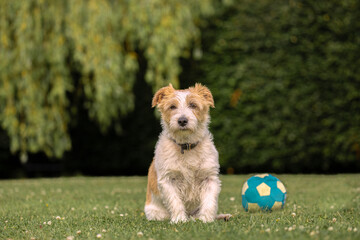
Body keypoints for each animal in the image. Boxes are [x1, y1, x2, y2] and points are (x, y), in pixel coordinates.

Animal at [143, 83, 228, 223]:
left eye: (193, 105)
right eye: (172, 106)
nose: (182, 120)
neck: (187, 146)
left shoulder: (209, 178)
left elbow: (209, 201)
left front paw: (206, 219)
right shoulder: (168, 180)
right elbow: (175, 201)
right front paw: (179, 220)